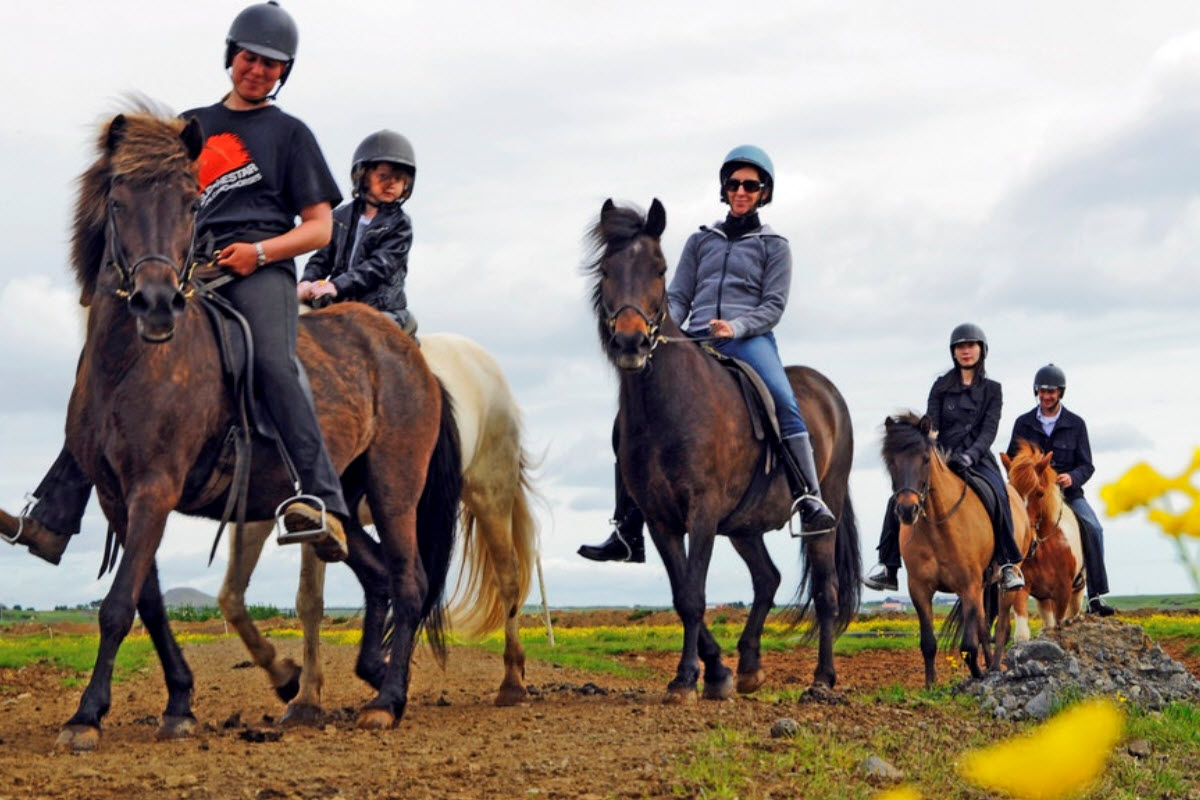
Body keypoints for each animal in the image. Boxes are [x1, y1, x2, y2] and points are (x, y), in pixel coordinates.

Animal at [54, 105, 460, 750]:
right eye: (117, 201)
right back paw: (355, 679)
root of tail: (411, 355)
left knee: (410, 579)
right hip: (342, 500)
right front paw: (181, 703)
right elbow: (148, 602)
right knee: (378, 577)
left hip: (395, 489)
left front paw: (86, 716)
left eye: (191, 203)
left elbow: (118, 605)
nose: (156, 303)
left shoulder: (155, 489)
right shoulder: (118, 497)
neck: (131, 365)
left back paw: (387, 701)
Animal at [217, 332, 539, 718]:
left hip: (489, 496)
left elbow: (307, 599)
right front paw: (294, 686)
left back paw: (512, 683)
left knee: (507, 581)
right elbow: (237, 597)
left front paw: (305, 695)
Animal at [586, 199, 861, 703]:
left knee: (827, 593)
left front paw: (688, 679)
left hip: (822, 512)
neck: (671, 405)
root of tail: (827, 391)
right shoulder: (660, 519)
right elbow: (682, 595)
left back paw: (822, 679)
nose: (631, 342)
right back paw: (751, 666)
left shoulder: (703, 510)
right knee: (767, 578)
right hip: (744, 526)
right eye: (607, 270)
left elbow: (694, 594)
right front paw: (716, 672)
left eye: (659, 269)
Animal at [881, 412, 1032, 687]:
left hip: (1005, 581)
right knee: (984, 626)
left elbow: (967, 644)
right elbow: (929, 642)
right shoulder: (919, 589)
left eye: (925, 459)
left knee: (1002, 626)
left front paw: (977, 674)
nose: (907, 510)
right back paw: (988, 665)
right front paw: (931, 685)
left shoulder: (968, 585)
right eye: (890, 461)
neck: (938, 526)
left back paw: (995, 668)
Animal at [998, 440, 1086, 651]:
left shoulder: (1063, 591)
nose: (1026, 539)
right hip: (1044, 598)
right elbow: (1022, 633)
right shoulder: (1023, 586)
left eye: (1039, 493)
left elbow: (1060, 624)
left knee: (1072, 612)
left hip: (1076, 591)